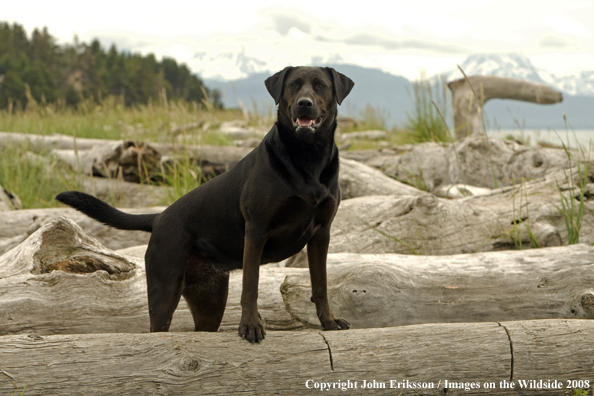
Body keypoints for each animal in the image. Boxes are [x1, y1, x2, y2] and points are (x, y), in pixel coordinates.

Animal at [56, 66, 352, 342]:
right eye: (293, 85)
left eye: (320, 85)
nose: (304, 103)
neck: (307, 157)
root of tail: (159, 217)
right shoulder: (256, 230)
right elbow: (251, 286)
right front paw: (250, 325)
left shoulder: (321, 233)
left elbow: (321, 284)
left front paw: (329, 322)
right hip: (165, 292)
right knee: (158, 328)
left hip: (210, 302)